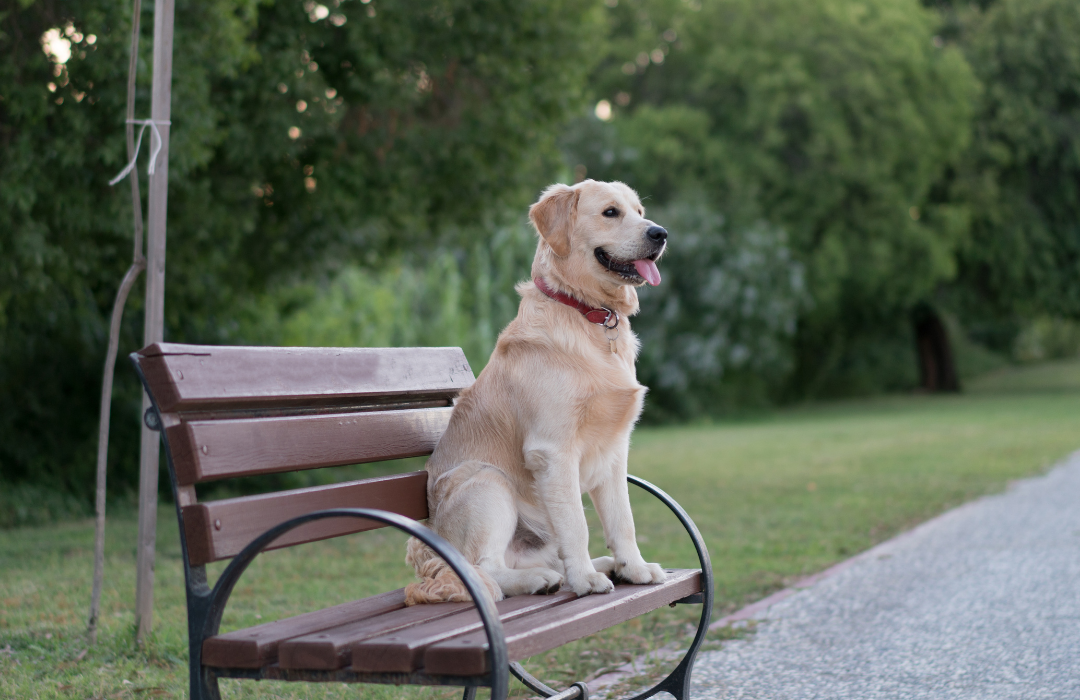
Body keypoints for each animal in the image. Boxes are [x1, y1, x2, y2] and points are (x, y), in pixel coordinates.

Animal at [406, 179, 665, 600]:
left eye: (640, 212)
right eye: (610, 212)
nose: (660, 234)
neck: (586, 314)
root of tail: (430, 555)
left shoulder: (614, 449)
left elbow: (622, 520)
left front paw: (635, 568)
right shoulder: (553, 451)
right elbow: (576, 524)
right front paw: (585, 581)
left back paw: (599, 566)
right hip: (488, 482)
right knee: (486, 569)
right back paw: (543, 579)